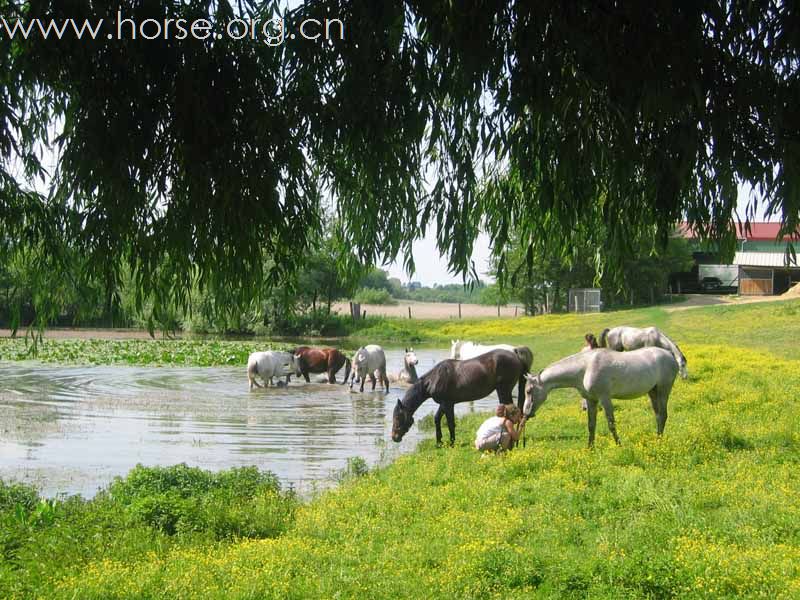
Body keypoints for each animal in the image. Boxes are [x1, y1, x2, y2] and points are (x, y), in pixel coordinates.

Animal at [390, 346, 528, 446]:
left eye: (397, 417)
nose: (394, 437)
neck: (435, 378)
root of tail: (515, 354)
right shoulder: (445, 404)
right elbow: (437, 418)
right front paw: (439, 442)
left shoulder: (448, 404)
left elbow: (450, 422)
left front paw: (452, 443)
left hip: (503, 390)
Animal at [520, 344, 680, 448]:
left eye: (528, 391)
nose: (526, 413)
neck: (586, 367)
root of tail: (670, 355)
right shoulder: (591, 400)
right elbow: (591, 425)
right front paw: (590, 448)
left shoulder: (605, 398)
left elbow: (611, 424)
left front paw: (619, 445)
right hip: (653, 392)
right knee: (658, 415)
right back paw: (657, 438)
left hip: (663, 390)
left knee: (663, 415)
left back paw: (659, 442)